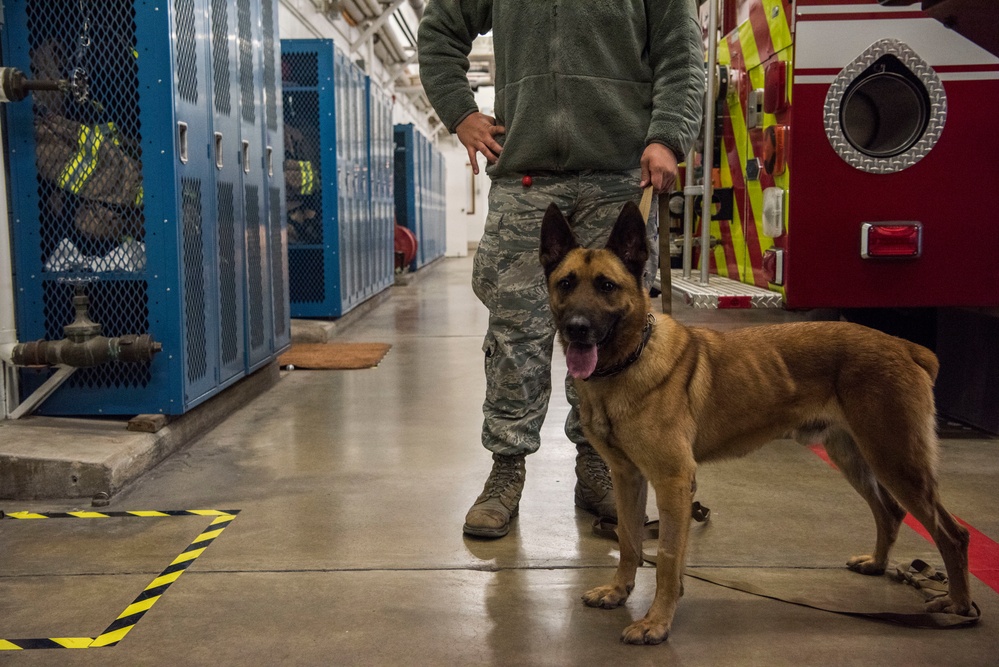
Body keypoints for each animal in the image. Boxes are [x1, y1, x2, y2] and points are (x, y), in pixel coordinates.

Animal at [544, 201, 972, 644]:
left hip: (896, 461)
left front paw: (657, 621)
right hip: (856, 457)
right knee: (890, 512)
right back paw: (877, 564)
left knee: (953, 534)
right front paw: (619, 590)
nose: (576, 329)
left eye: (607, 286)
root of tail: (905, 347)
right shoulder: (628, 477)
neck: (629, 360)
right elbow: (629, 540)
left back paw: (957, 605)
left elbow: (665, 555)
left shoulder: (673, 481)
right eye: (566, 283)